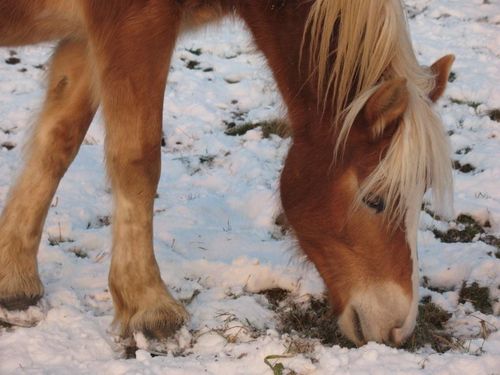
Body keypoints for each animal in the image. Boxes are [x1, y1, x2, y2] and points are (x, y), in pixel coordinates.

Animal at [0, 0, 456, 348]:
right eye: (375, 200)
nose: (399, 327)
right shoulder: (135, 25)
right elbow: (138, 160)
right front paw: (149, 305)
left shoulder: (84, 40)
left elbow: (57, 144)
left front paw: (14, 277)